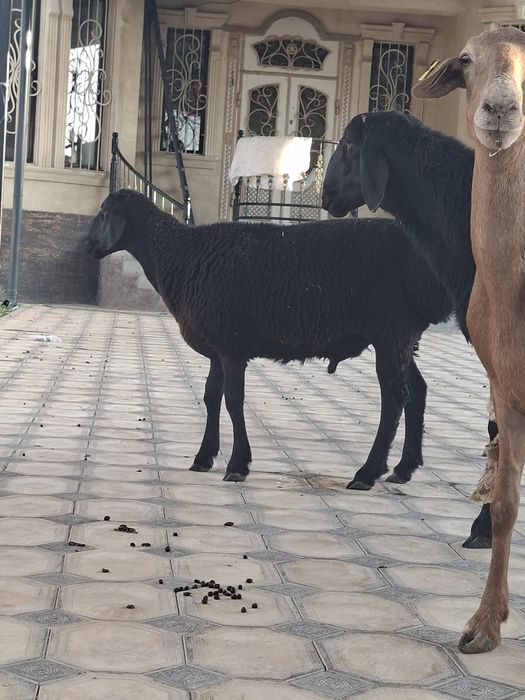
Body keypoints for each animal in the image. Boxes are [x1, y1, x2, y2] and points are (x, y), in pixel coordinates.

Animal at [87, 189, 454, 487]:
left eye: (104, 214)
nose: (88, 246)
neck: (181, 255)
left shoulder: (232, 346)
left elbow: (233, 401)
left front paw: (237, 464)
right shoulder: (218, 347)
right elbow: (211, 397)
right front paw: (204, 457)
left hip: (391, 332)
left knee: (394, 398)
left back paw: (368, 473)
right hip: (401, 336)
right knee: (417, 391)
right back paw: (404, 469)